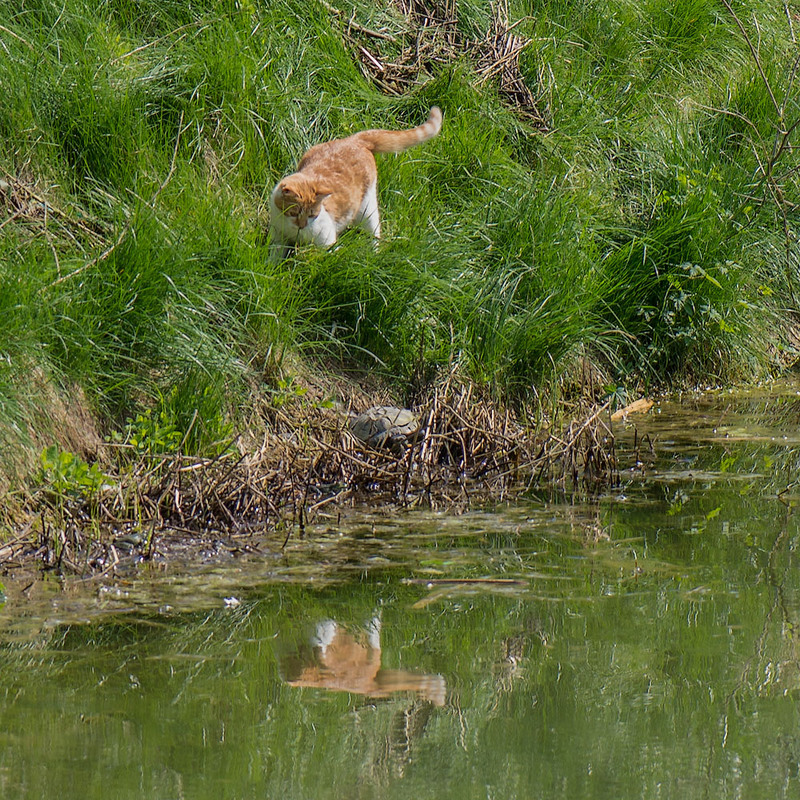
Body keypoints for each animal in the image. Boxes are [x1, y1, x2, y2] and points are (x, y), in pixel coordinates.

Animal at [270, 106, 444, 260]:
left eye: (313, 215)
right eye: (294, 212)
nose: (302, 225)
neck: (291, 229)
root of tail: (353, 140)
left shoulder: (325, 239)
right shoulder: (278, 237)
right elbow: (274, 258)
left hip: (367, 210)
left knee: (374, 234)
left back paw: (374, 255)